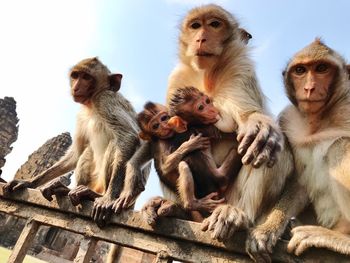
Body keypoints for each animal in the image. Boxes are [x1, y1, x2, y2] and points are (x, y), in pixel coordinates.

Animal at [2, 57, 150, 225]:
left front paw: (108, 198)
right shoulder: (81, 115)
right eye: (76, 75)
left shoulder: (106, 100)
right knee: (87, 150)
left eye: (86, 77)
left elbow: (129, 137)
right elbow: (76, 153)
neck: (91, 103)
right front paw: (28, 182)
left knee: (116, 143)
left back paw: (97, 195)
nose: (76, 87)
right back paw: (66, 189)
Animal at [137, 87, 241, 218]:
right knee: (183, 165)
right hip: (221, 177)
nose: (164, 126)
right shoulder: (206, 129)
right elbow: (165, 167)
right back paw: (191, 204)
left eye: (164, 118)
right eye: (155, 126)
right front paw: (190, 144)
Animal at [247, 39, 350, 262]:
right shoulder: (287, 118)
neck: (318, 121)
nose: (309, 88)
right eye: (300, 70)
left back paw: (341, 239)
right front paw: (267, 229)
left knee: (339, 147)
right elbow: (298, 182)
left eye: (322, 68)